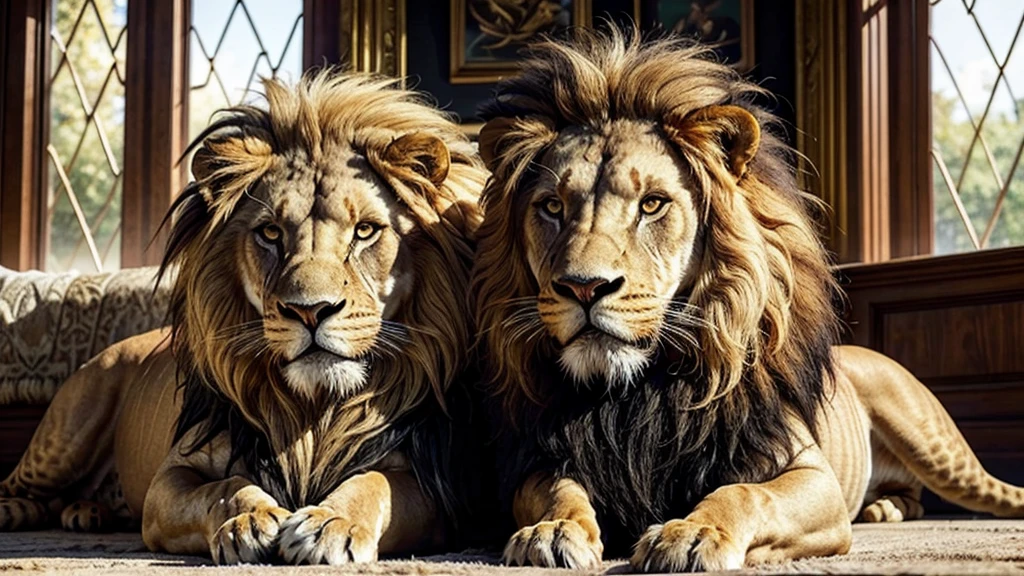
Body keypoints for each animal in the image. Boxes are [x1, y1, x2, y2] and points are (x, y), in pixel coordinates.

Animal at [0, 69, 489, 561]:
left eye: (366, 231)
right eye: (270, 233)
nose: (311, 312)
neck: (314, 410)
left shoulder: (437, 493)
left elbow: (373, 484)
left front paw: (330, 525)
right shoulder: (170, 478)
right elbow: (225, 486)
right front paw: (250, 519)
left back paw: (89, 511)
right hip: (69, 431)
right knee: (21, 484)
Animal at [471, 25, 1024, 569]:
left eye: (652, 204)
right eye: (551, 207)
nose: (584, 287)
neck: (640, 393)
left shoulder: (810, 472)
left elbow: (744, 493)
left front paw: (693, 533)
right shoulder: (545, 460)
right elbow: (557, 490)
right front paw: (552, 530)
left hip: (930, 440)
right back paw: (883, 508)